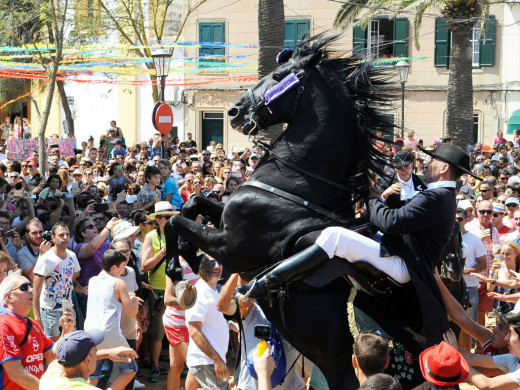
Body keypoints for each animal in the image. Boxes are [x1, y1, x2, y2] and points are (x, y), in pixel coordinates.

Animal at [165, 35, 432, 388]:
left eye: (279, 77)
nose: (235, 111)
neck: (297, 185)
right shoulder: (224, 222)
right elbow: (192, 204)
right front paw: (188, 262)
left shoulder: (232, 246)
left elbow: (174, 220)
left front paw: (177, 273)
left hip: (342, 368)